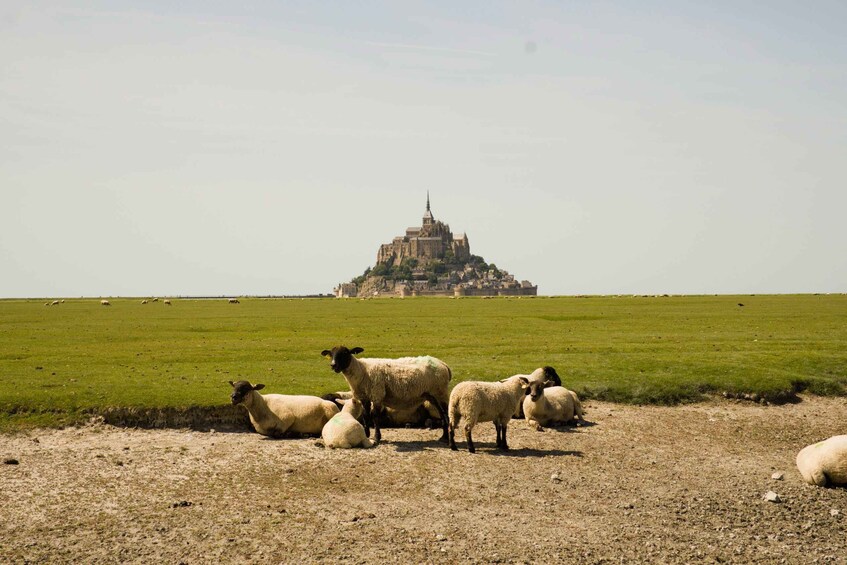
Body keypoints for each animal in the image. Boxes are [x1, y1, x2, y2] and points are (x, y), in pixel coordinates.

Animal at [320, 346, 452, 444]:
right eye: (331, 354)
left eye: (345, 353)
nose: (333, 365)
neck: (361, 370)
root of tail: (443, 364)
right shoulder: (365, 397)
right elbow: (366, 415)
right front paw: (366, 434)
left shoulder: (377, 394)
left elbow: (375, 416)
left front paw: (377, 437)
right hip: (433, 396)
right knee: (442, 414)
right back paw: (443, 436)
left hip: (440, 393)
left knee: (445, 415)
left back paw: (446, 437)